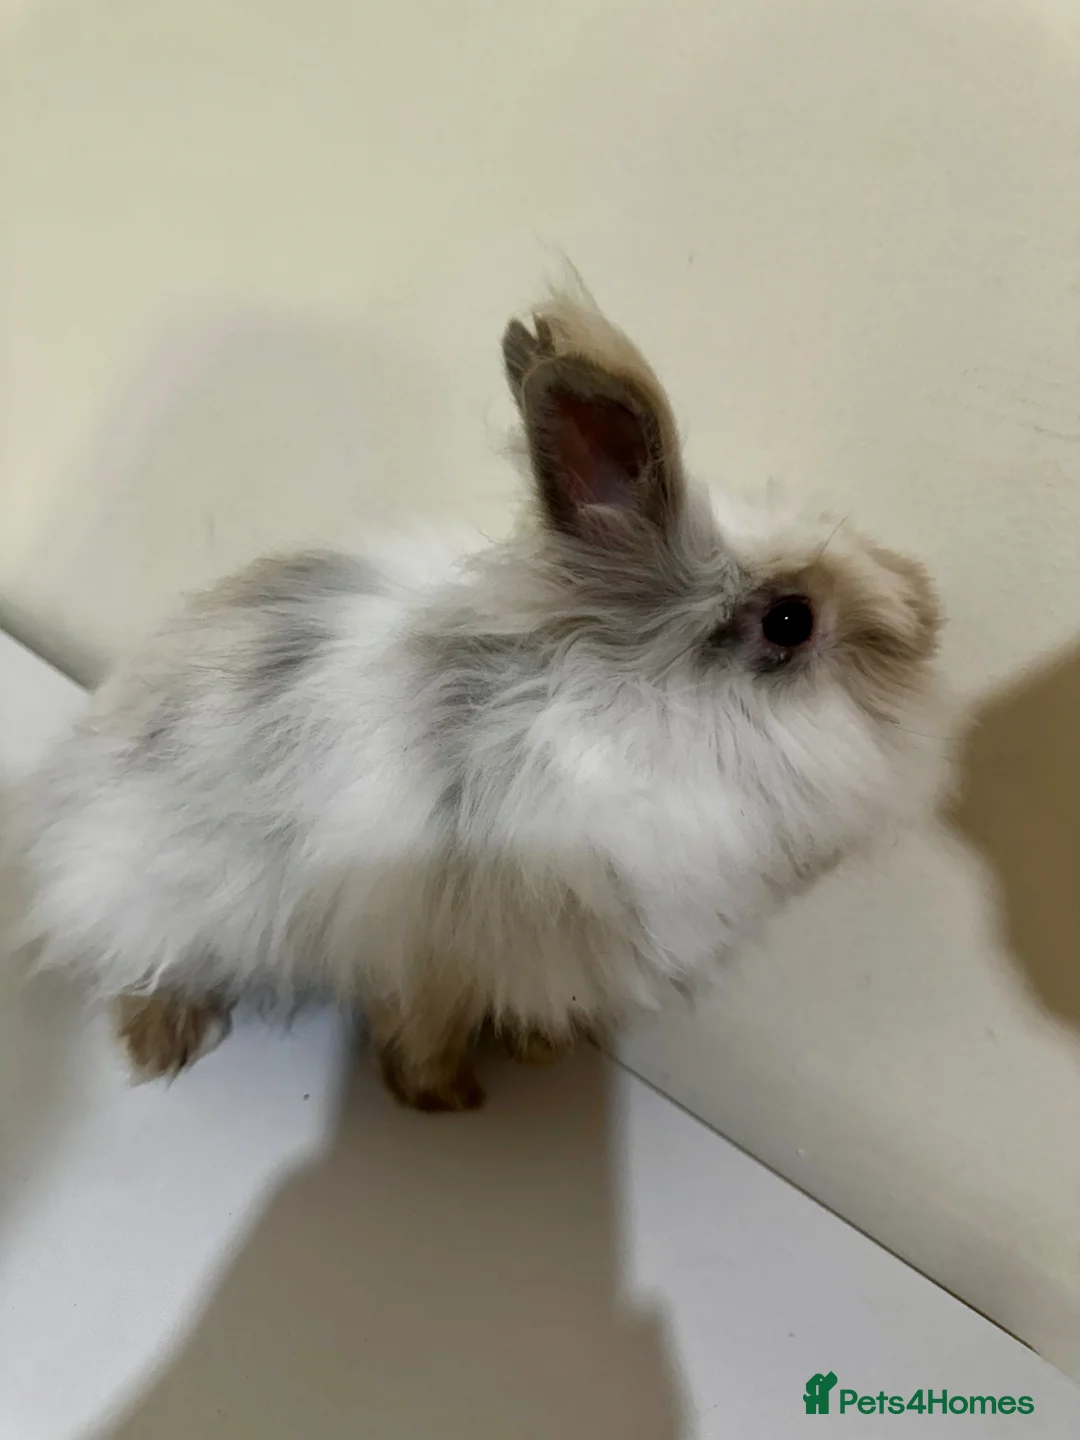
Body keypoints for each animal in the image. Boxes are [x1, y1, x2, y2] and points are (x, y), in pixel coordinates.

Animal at [8, 289, 943, 1112]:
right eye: (790, 621)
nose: (929, 617)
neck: (632, 705)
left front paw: (539, 1051)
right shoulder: (441, 939)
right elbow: (428, 1022)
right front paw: (448, 1098)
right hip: (154, 889)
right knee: (135, 958)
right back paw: (159, 1044)